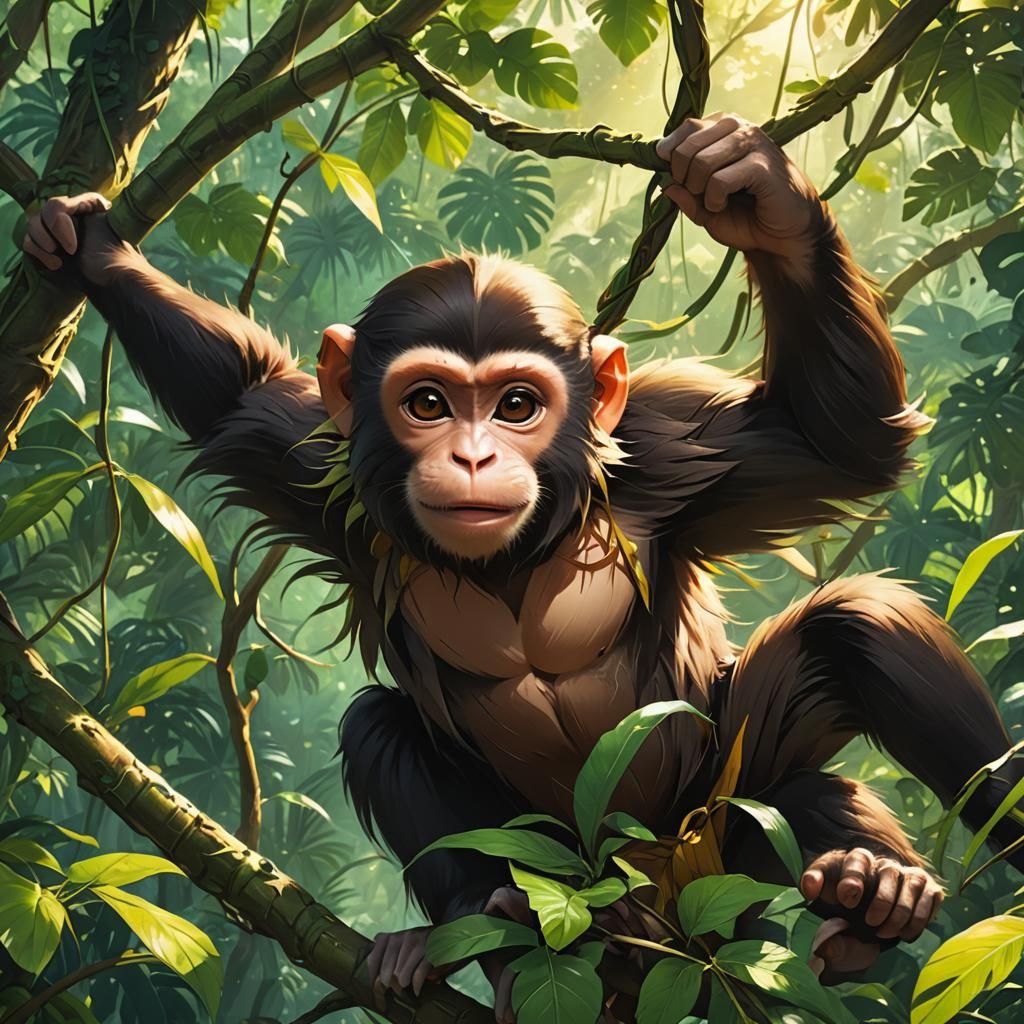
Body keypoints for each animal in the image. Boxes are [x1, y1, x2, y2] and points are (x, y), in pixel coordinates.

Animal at [23, 113, 1023, 1011]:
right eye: (427, 402)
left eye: (515, 404)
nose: (472, 457)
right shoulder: (315, 462)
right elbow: (236, 395)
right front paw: (92, 249)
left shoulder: (675, 451)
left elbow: (836, 446)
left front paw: (757, 196)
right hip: (590, 889)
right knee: (381, 726)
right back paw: (487, 928)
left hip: (718, 829)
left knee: (849, 642)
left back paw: (874, 889)